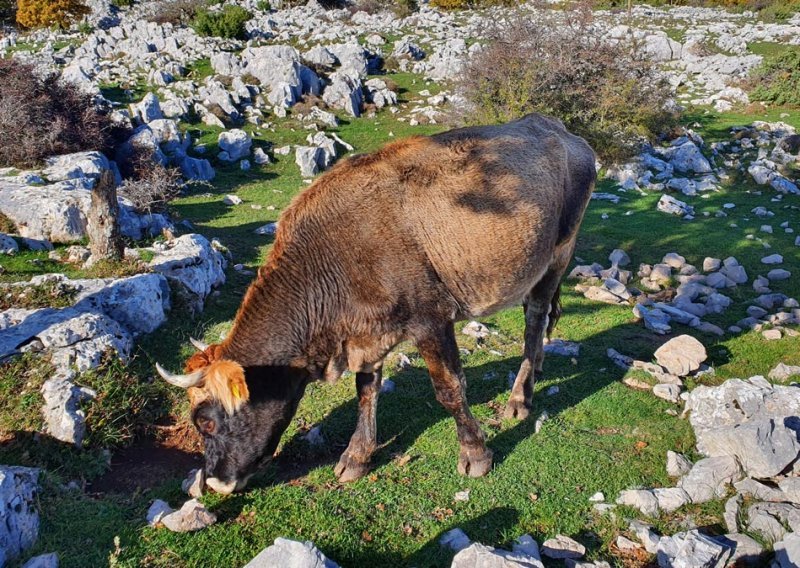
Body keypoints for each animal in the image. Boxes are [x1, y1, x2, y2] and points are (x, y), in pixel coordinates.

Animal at [156, 112, 592, 492]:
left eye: (206, 421)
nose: (215, 481)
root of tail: (550, 124)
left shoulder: (431, 318)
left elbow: (449, 388)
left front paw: (475, 454)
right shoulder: (365, 334)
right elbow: (366, 390)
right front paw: (357, 455)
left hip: (559, 252)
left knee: (535, 318)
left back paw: (520, 397)